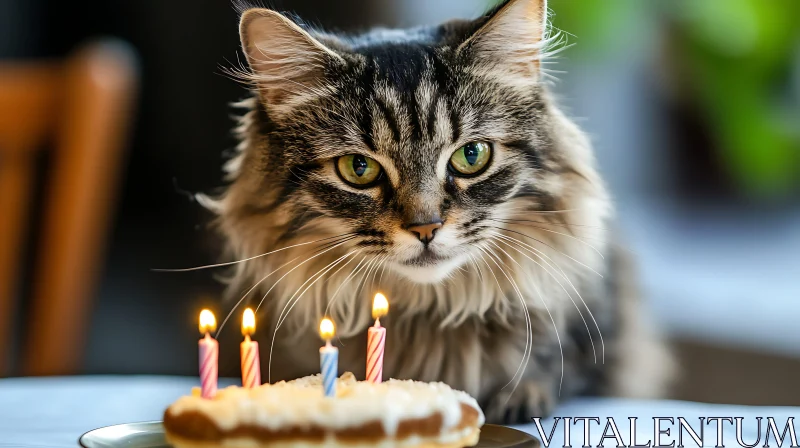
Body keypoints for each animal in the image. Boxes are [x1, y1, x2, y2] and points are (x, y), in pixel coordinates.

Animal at [200, 0, 676, 424]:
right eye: (358, 169)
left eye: (472, 155)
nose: (425, 228)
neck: (432, 307)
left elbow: (555, 368)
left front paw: (520, 397)